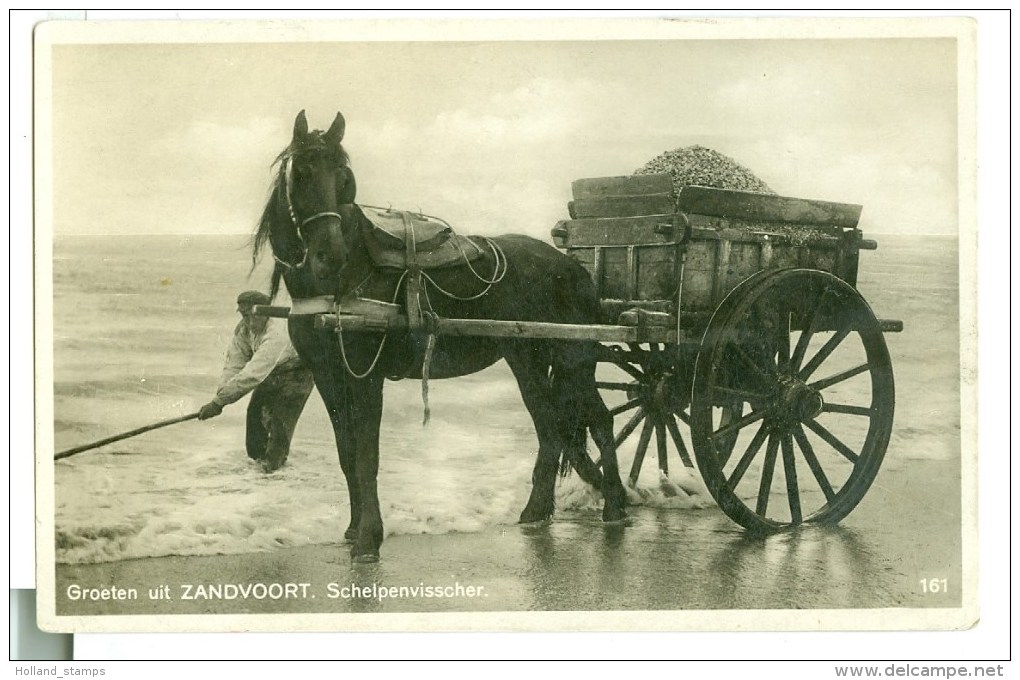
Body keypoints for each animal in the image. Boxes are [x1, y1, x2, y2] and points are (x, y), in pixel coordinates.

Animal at [250, 109, 624, 562]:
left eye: (343, 178)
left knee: (600, 420)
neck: (345, 278)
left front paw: (370, 538)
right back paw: (537, 512)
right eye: (302, 174)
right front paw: (354, 528)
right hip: (527, 359)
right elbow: (346, 453)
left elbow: (366, 456)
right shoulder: (327, 376)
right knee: (549, 425)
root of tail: (571, 267)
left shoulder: (365, 377)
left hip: (574, 356)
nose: (330, 255)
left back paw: (615, 505)